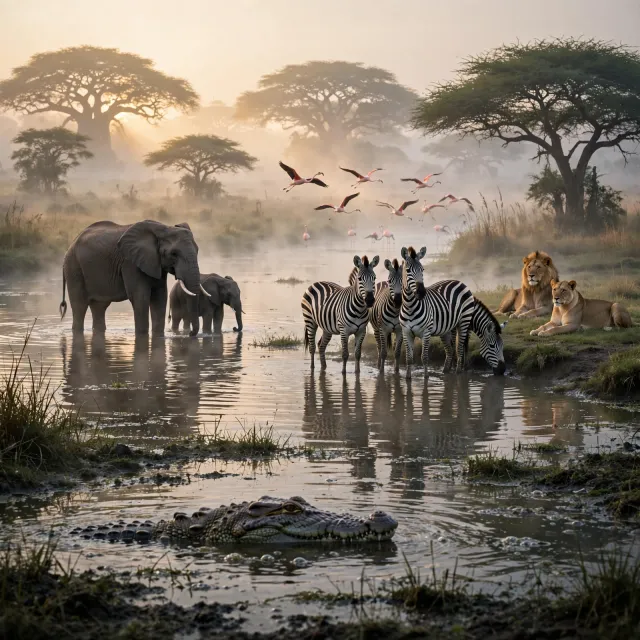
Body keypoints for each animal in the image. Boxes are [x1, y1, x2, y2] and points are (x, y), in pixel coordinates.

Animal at [60, 220, 202, 337]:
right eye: (174, 254)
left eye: (197, 250)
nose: (190, 333)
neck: (163, 228)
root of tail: (70, 245)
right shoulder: (130, 263)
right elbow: (140, 297)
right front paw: (142, 335)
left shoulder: (156, 264)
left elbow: (160, 297)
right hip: (74, 268)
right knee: (79, 306)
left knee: (99, 307)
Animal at [399, 246, 475, 379]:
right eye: (408, 270)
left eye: (422, 269)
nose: (421, 292)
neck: (410, 306)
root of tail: (459, 281)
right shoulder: (406, 332)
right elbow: (409, 358)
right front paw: (408, 378)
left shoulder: (426, 332)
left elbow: (424, 357)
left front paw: (426, 377)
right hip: (447, 328)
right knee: (450, 350)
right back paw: (445, 371)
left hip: (464, 320)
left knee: (459, 349)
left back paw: (458, 372)